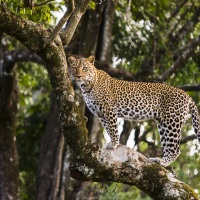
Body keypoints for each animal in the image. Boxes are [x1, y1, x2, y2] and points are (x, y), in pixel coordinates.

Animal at [68, 54, 199, 167]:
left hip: (171, 121)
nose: (78, 76)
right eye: (74, 68)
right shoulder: (101, 114)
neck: (87, 86)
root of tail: (187, 95)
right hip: (163, 123)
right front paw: (113, 143)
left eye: (84, 68)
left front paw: (114, 143)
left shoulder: (109, 109)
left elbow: (113, 128)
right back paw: (160, 160)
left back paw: (163, 162)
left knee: (175, 149)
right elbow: (108, 129)